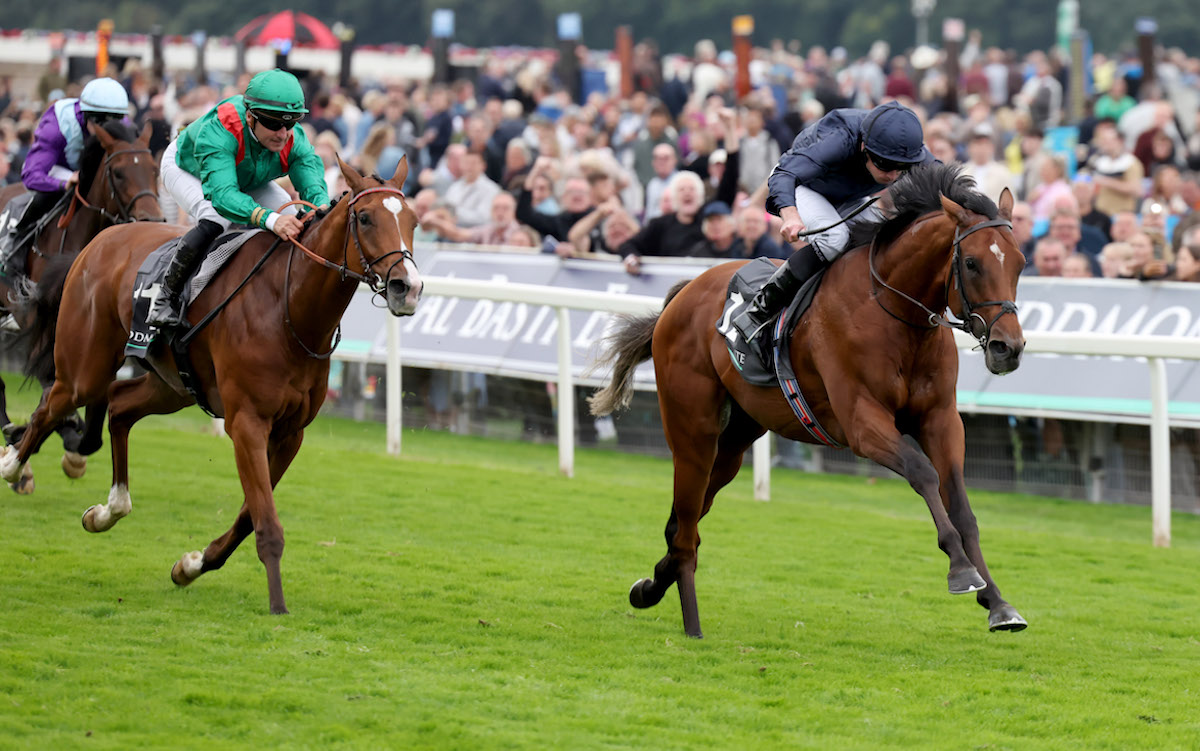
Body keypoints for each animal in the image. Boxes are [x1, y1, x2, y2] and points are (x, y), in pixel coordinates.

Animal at [0, 120, 162, 494]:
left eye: (154, 169)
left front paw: (69, 447)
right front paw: (26, 444)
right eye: (118, 172)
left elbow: (90, 422)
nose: (151, 219)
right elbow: (53, 395)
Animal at [590, 161, 1032, 633]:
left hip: (735, 440)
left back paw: (651, 587)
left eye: (1021, 263)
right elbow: (923, 473)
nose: (1008, 348)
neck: (894, 312)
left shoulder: (941, 418)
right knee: (687, 526)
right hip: (692, 431)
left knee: (682, 524)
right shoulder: (861, 423)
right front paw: (961, 570)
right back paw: (692, 625)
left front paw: (998, 602)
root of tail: (684, 293)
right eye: (971, 262)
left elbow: (962, 505)